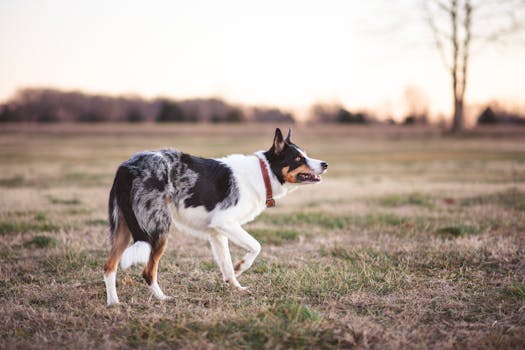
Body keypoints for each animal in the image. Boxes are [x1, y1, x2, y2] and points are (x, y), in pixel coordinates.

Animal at [102, 127, 328, 304]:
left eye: (306, 155)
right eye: (298, 158)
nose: (325, 164)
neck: (264, 173)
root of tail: (127, 168)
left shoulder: (217, 233)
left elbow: (226, 265)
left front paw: (235, 286)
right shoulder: (225, 222)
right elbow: (256, 246)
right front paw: (241, 266)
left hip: (124, 230)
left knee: (109, 267)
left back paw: (114, 303)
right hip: (158, 230)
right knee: (148, 272)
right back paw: (162, 298)